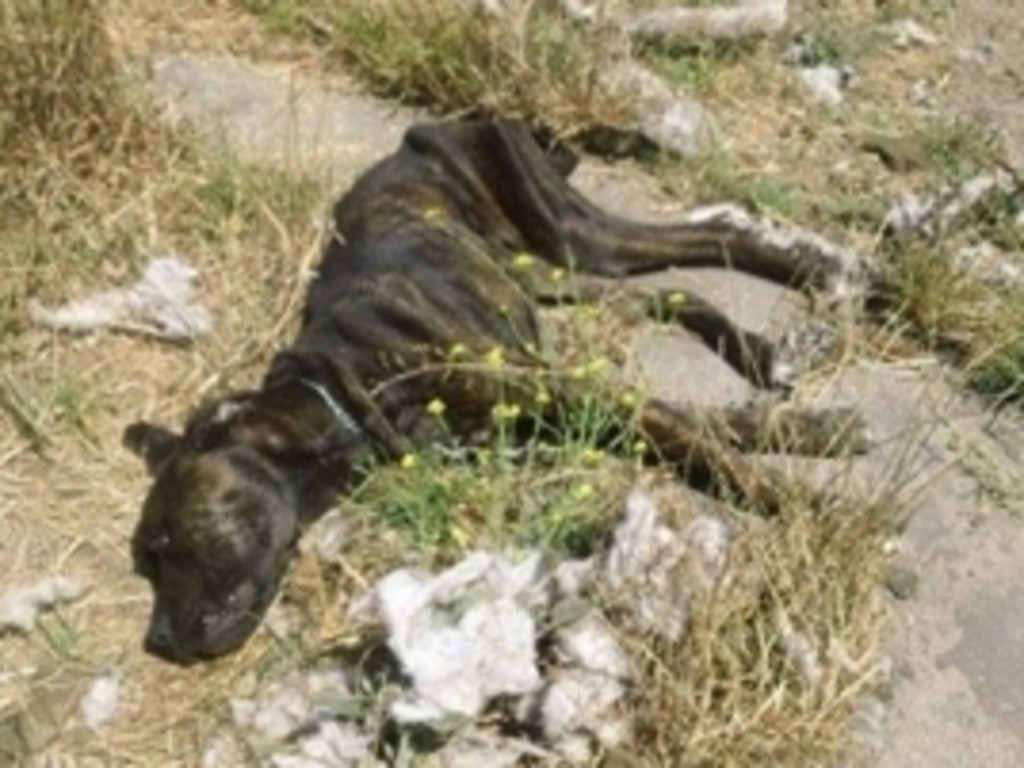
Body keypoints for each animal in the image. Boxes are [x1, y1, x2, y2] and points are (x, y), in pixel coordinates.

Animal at [125, 117, 864, 663]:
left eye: (167, 541)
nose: (157, 642)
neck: (346, 390)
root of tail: (432, 126)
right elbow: (700, 425)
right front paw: (812, 445)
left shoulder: (555, 388)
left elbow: (701, 436)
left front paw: (815, 497)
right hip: (544, 272)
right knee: (665, 293)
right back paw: (762, 351)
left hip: (573, 232)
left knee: (709, 232)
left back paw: (816, 273)